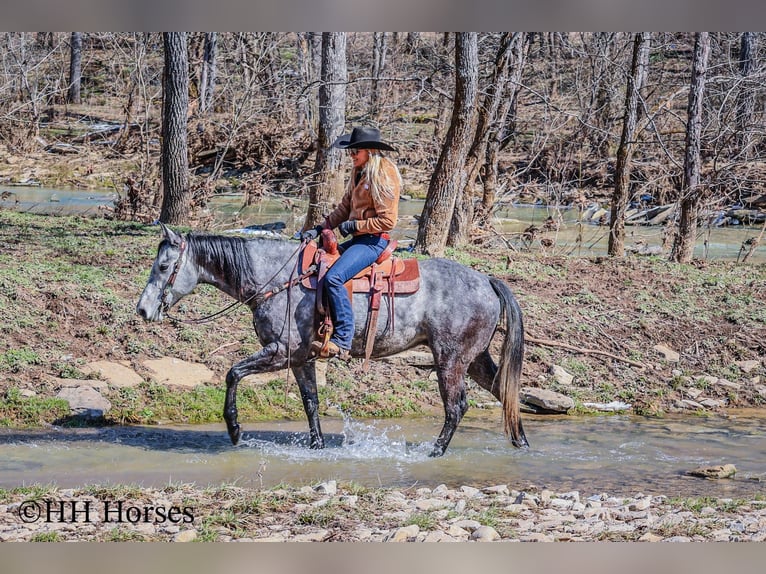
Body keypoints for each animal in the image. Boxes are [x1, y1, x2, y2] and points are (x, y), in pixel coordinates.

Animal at [136, 225, 528, 460]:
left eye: (163, 266)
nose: (142, 309)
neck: (277, 280)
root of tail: (487, 280)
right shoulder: (301, 359)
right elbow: (310, 402)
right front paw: (318, 446)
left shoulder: (280, 353)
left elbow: (233, 373)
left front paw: (233, 429)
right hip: (474, 359)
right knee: (505, 392)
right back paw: (520, 443)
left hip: (450, 359)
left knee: (456, 406)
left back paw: (434, 452)